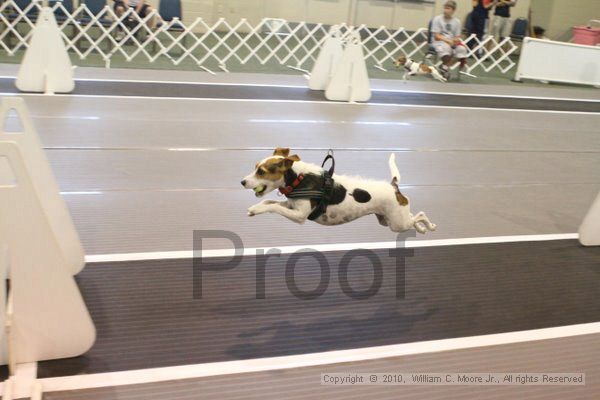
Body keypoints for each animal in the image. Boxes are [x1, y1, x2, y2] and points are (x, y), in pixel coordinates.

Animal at [240, 148, 436, 234]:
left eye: (261, 172)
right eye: (255, 167)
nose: (242, 182)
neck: (299, 179)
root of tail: (393, 186)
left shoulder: (299, 216)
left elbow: (273, 206)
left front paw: (255, 209)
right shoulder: (291, 206)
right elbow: (269, 202)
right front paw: (256, 208)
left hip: (397, 223)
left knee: (420, 214)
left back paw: (429, 226)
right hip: (389, 221)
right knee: (413, 217)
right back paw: (421, 229)